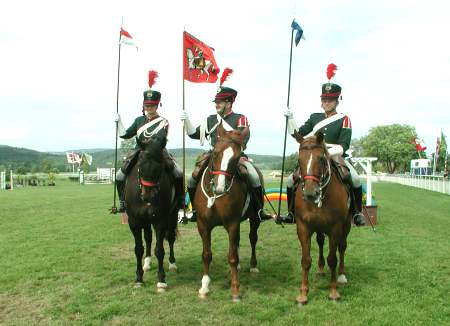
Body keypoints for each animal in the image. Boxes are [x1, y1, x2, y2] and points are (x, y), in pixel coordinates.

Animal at [125, 136, 179, 292]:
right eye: (140, 165)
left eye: (160, 166)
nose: (148, 196)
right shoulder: (134, 221)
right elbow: (138, 249)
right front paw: (139, 278)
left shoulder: (160, 220)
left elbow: (160, 250)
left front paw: (161, 280)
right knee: (148, 238)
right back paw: (147, 263)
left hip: (172, 216)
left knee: (171, 238)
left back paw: (172, 264)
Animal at [194, 123, 264, 302]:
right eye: (215, 152)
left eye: (237, 157)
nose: (220, 187)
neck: (215, 196)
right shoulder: (203, 225)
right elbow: (206, 254)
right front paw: (204, 287)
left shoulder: (232, 224)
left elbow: (232, 256)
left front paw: (235, 290)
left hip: (254, 219)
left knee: (252, 239)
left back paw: (253, 266)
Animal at [292, 131, 352, 304]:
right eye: (299, 160)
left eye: (321, 159)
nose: (310, 193)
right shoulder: (303, 227)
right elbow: (305, 260)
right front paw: (303, 294)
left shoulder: (335, 228)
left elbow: (332, 259)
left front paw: (333, 292)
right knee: (320, 242)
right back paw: (319, 269)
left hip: (346, 226)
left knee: (342, 247)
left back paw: (341, 275)